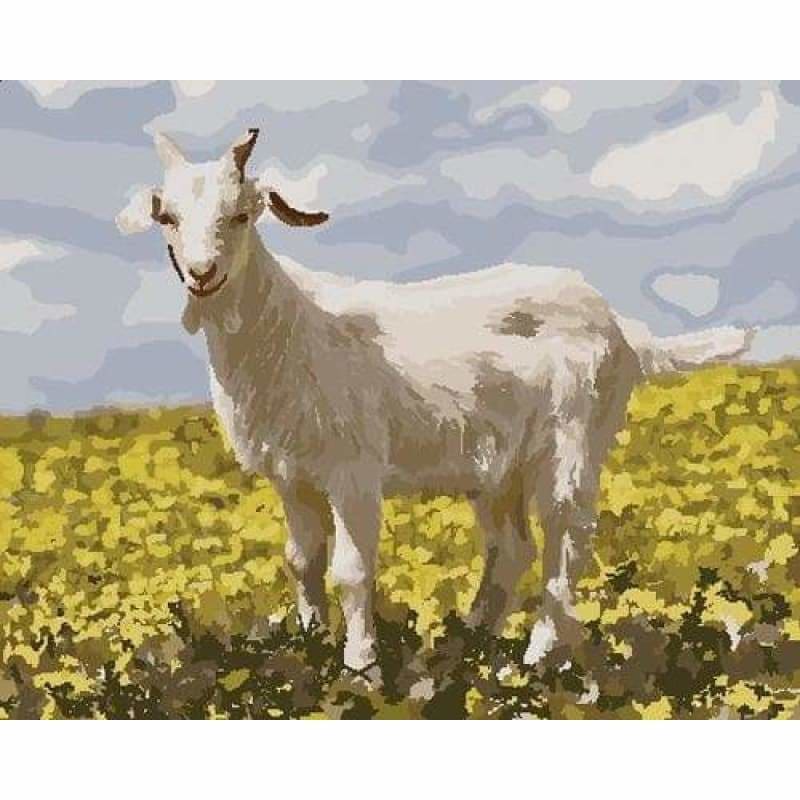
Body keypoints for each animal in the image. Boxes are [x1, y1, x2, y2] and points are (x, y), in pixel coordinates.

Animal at [117, 129, 754, 674]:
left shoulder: (354, 471)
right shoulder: (291, 478)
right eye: (168, 217)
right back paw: (469, 641)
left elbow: (352, 569)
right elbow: (302, 562)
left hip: (573, 444)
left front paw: (359, 666)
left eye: (241, 215)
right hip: (499, 470)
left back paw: (537, 656)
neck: (289, 327)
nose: (202, 274)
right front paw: (309, 646)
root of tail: (623, 330)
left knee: (566, 541)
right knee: (512, 547)